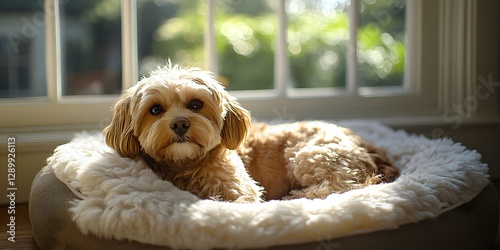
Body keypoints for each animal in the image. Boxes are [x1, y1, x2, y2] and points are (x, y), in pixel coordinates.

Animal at [104, 63, 398, 202]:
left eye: (196, 104)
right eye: (155, 110)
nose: (180, 124)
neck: (187, 164)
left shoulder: (240, 189)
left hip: (310, 155)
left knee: (343, 186)